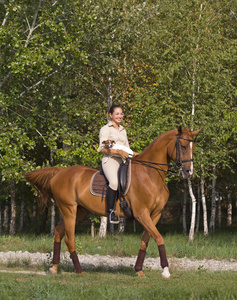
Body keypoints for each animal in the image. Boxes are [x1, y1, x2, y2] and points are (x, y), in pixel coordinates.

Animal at [25, 125, 200, 278]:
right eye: (183, 146)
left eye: (192, 148)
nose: (188, 172)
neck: (150, 174)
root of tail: (60, 171)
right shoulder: (142, 213)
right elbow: (159, 238)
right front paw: (165, 271)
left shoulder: (154, 215)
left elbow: (146, 240)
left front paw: (139, 270)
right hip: (69, 209)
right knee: (69, 238)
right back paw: (79, 270)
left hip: (79, 210)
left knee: (58, 232)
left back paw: (54, 268)